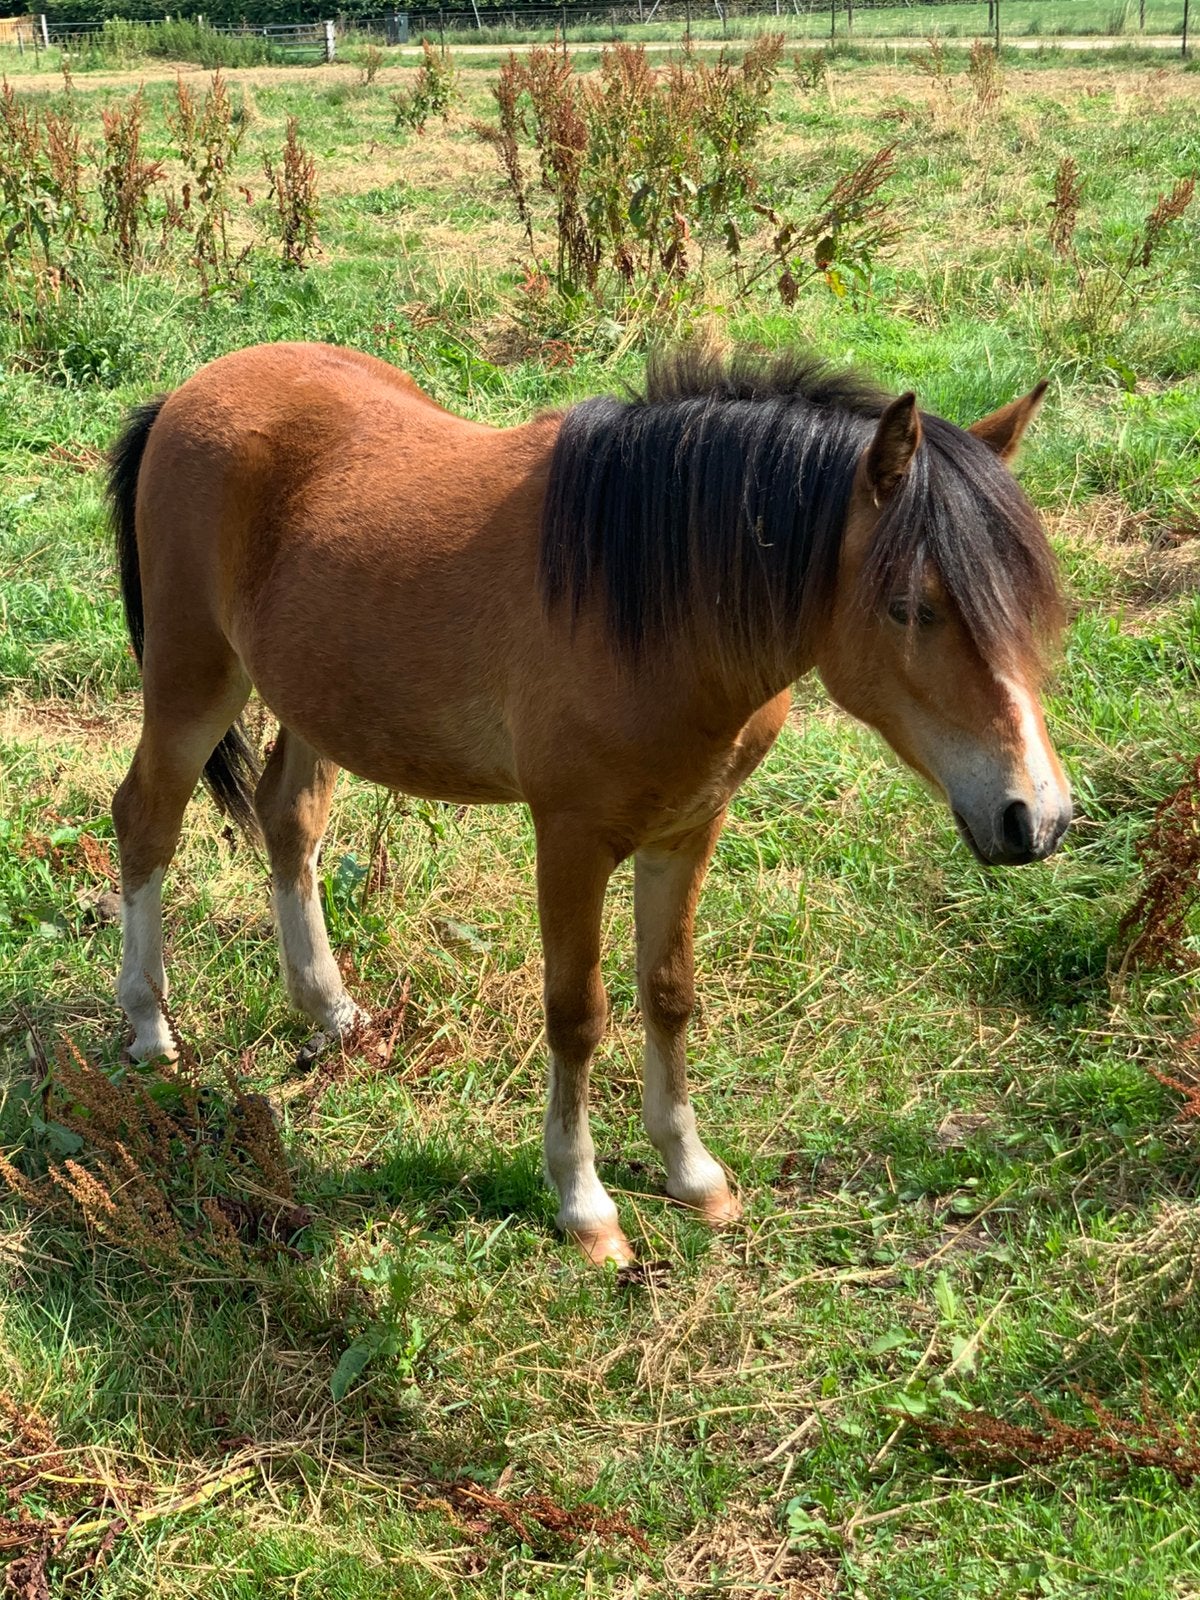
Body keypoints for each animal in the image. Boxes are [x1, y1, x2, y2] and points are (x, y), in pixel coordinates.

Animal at [107, 340, 1071, 1267]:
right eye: (909, 606)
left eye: (1031, 604)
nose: (1038, 817)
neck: (654, 607)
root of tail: (185, 395)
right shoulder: (570, 840)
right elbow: (578, 1015)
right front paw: (585, 1205)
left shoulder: (688, 827)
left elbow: (669, 992)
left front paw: (692, 1172)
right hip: (194, 678)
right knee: (145, 818)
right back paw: (151, 1028)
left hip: (314, 700)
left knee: (288, 820)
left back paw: (332, 1011)